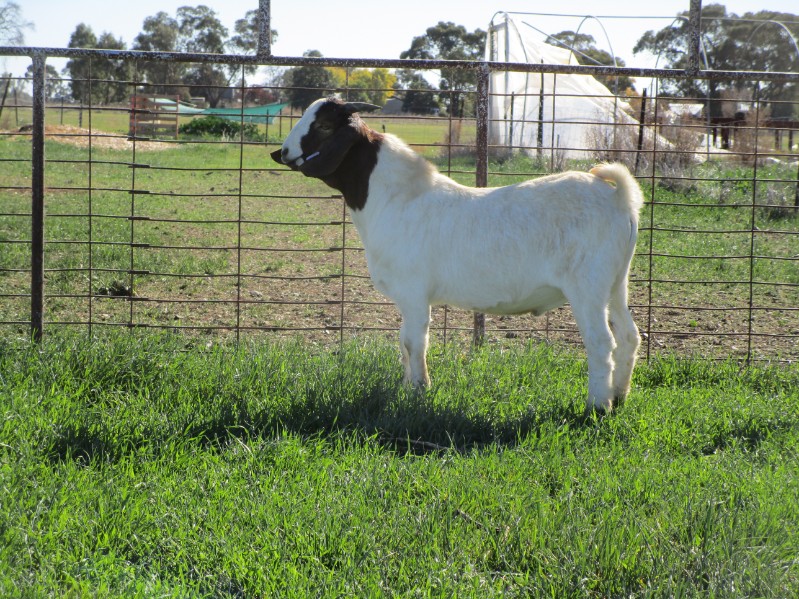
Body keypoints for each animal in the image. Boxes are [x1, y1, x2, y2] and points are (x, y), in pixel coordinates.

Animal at [271, 96, 643, 413]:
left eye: (324, 126)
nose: (283, 152)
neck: (395, 199)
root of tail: (618, 198)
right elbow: (404, 341)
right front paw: (407, 388)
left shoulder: (413, 292)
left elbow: (414, 342)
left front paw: (419, 391)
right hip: (616, 282)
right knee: (629, 336)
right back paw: (620, 396)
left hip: (587, 286)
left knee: (601, 342)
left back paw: (597, 406)